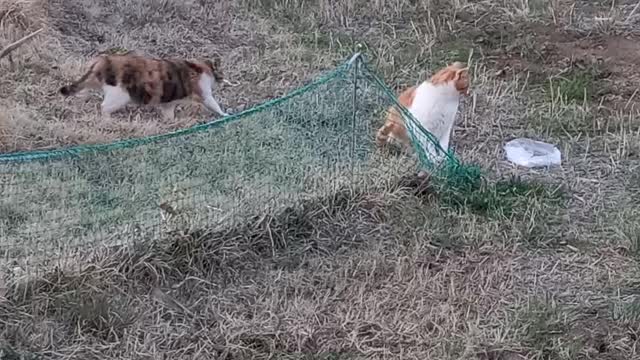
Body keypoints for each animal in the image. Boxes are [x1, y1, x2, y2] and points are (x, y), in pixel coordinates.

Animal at [57, 52, 228, 119]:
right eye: (222, 72)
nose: (224, 79)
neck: (203, 67)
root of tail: (103, 60)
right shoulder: (203, 93)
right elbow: (214, 104)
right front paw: (225, 115)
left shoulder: (168, 103)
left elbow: (168, 113)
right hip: (120, 95)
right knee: (103, 107)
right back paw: (107, 120)